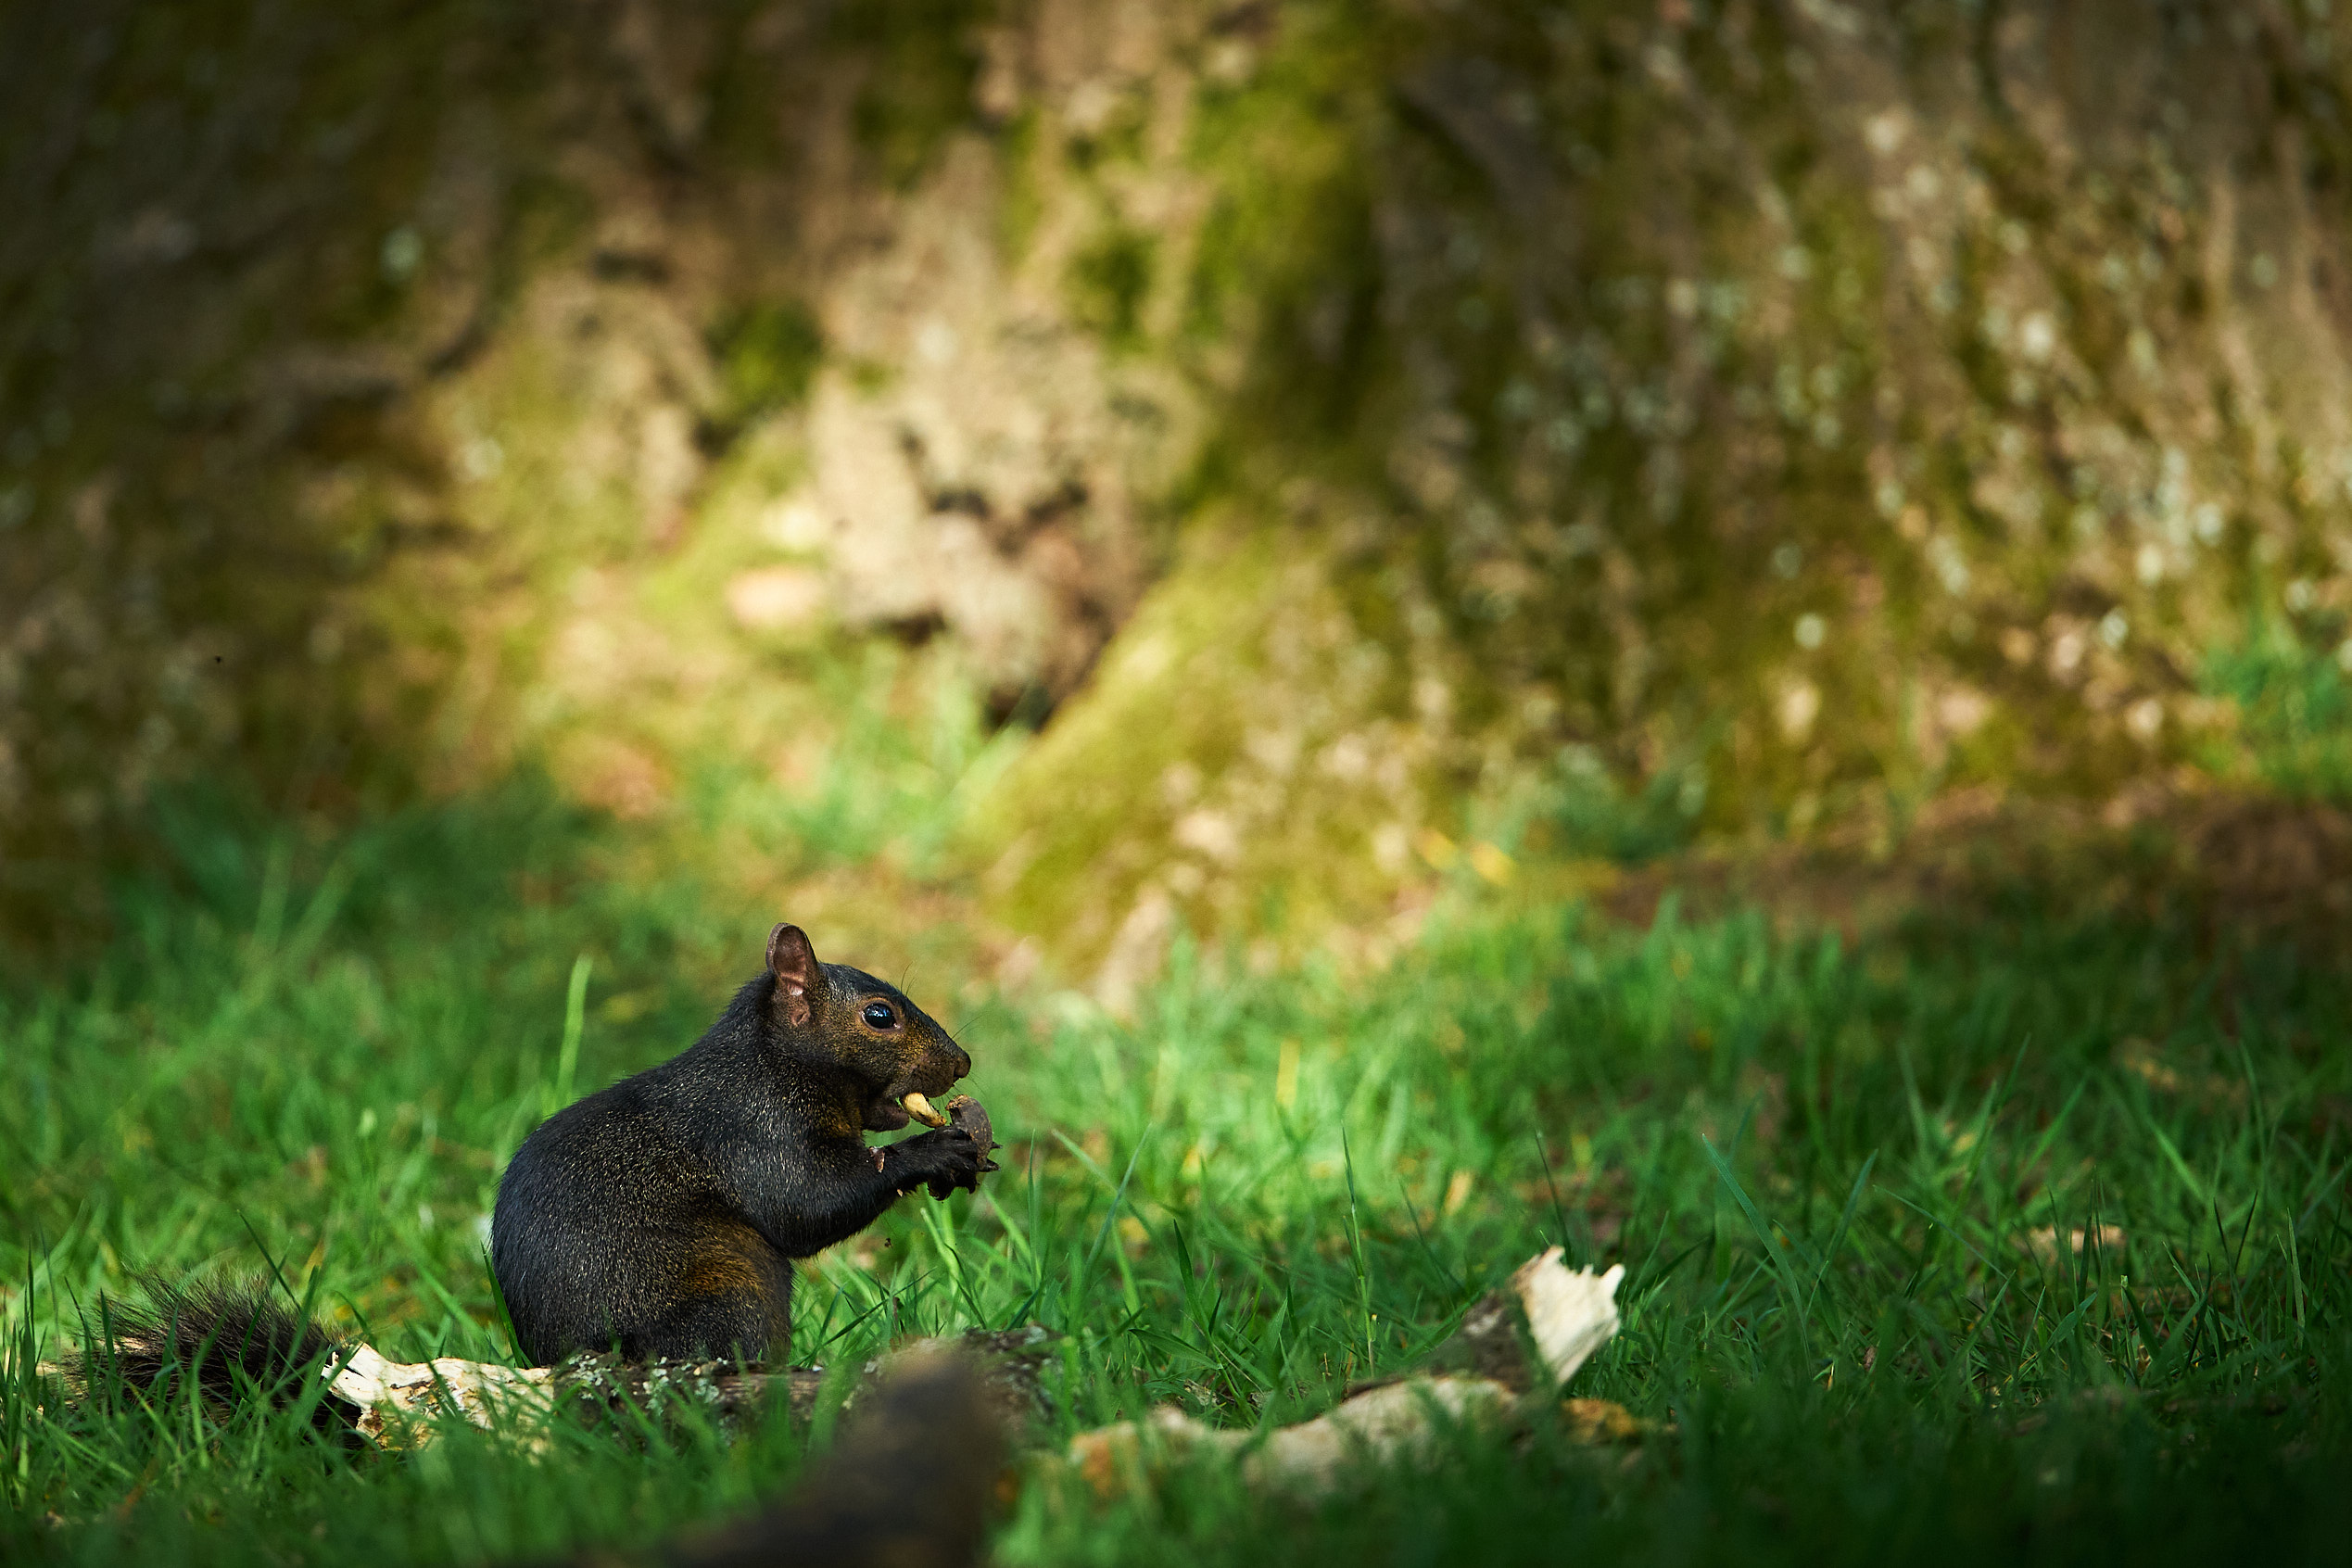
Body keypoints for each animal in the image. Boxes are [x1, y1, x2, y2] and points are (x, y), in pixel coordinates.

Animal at [490, 921, 994, 1367]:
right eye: (880, 1015)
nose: (963, 1063)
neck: (775, 1061)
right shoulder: (757, 1127)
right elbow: (808, 1204)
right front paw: (936, 1151)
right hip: (731, 1298)